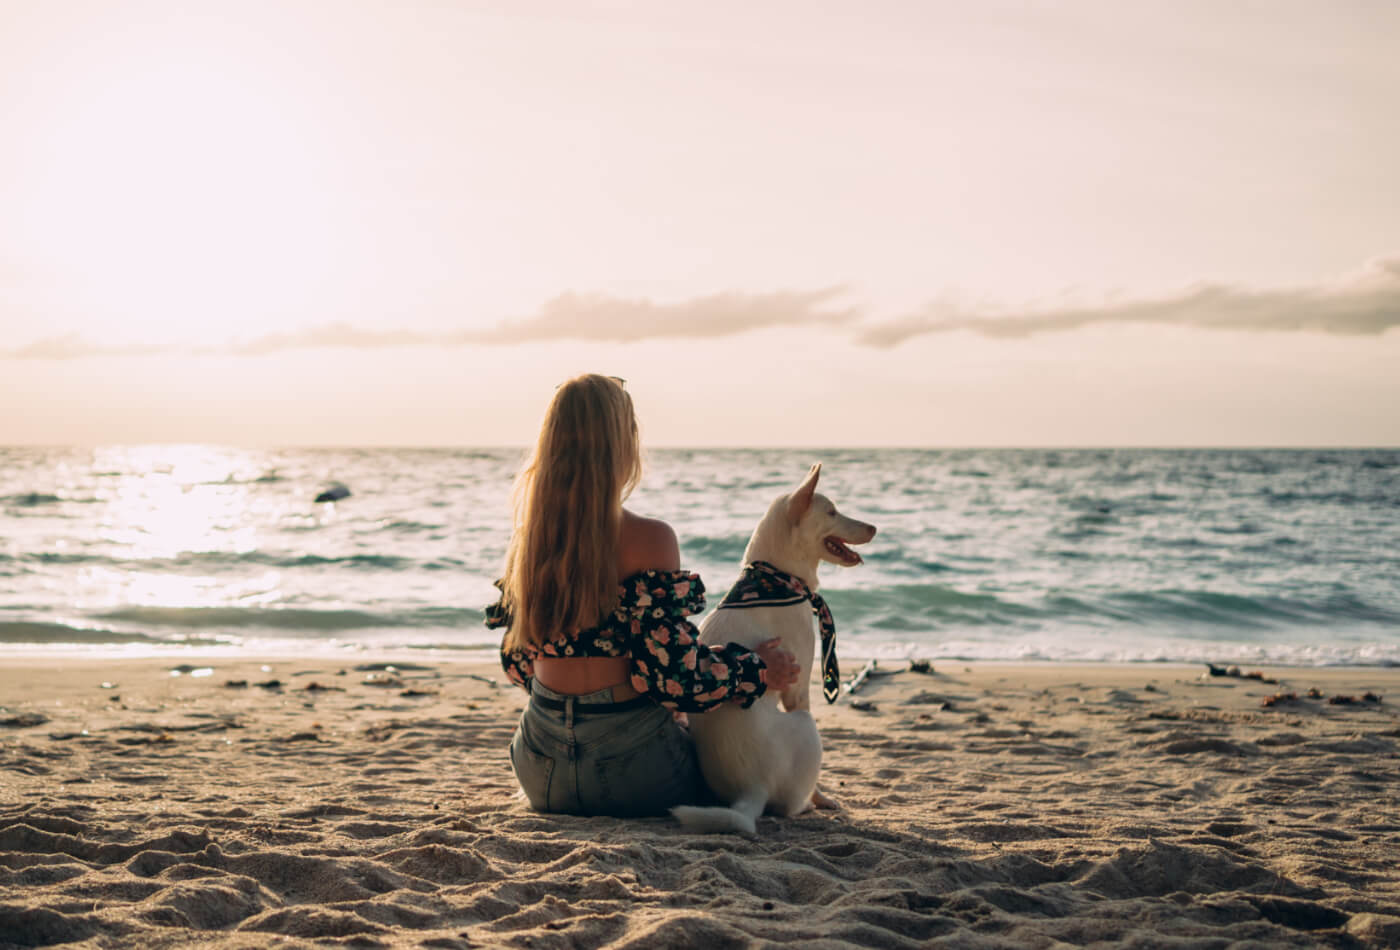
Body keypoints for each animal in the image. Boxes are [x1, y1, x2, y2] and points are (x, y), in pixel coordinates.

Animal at [669, 467, 873, 833]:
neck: (776, 578)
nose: (875, 528)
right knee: (788, 805)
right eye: (832, 512)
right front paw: (823, 798)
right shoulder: (798, 691)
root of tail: (752, 790)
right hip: (806, 725)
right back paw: (807, 804)